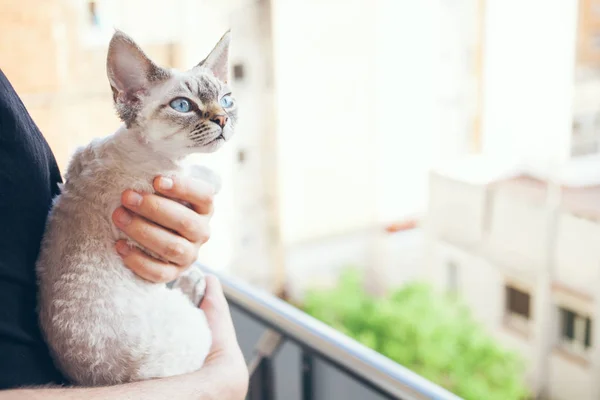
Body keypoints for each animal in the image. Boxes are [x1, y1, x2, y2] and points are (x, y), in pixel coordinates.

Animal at [35, 29, 237, 386]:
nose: (223, 119)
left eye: (226, 100)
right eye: (183, 106)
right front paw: (209, 175)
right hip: (193, 329)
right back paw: (195, 282)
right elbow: (208, 177)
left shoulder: (81, 155)